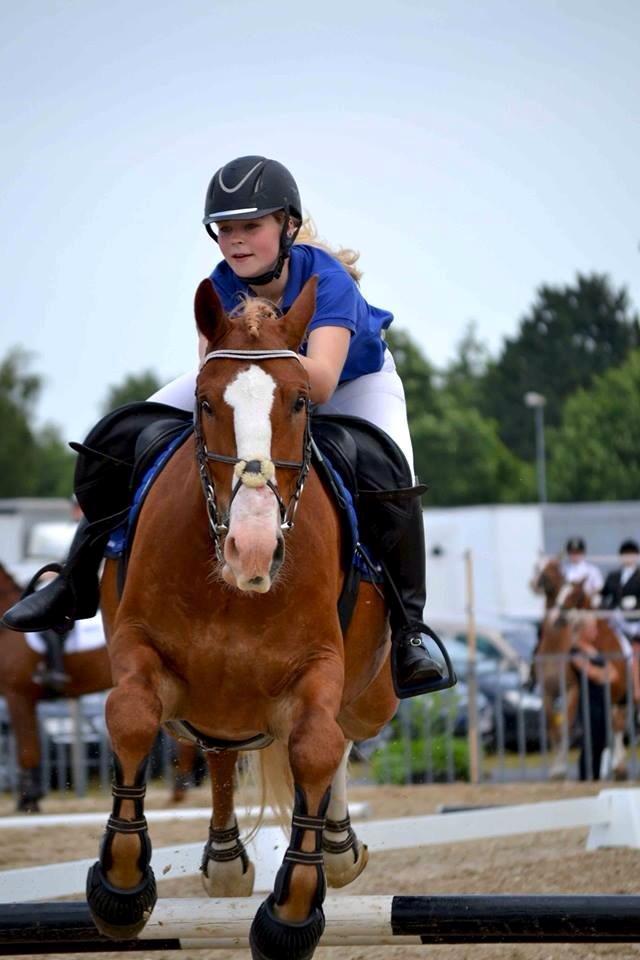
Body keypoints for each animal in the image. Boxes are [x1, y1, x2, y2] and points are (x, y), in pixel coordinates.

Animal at [90, 278, 398, 960]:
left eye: (301, 402)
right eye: (206, 404)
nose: (252, 550)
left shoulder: (320, 667)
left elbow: (316, 745)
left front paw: (292, 912)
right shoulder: (138, 647)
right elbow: (132, 715)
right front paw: (122, 885)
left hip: (376, 696)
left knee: (343, 733)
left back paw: (337, 847)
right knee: (216, 746)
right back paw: (227, 860)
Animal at [532, 564, 628, 780]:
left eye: (576, 595)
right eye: (561, 592)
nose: (557, 618)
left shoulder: (573, 690)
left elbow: (566, 727)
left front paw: (560, 769)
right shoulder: (548, 693)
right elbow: (553, 729)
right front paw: (556, 769)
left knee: (617, 726)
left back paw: (618, 767)